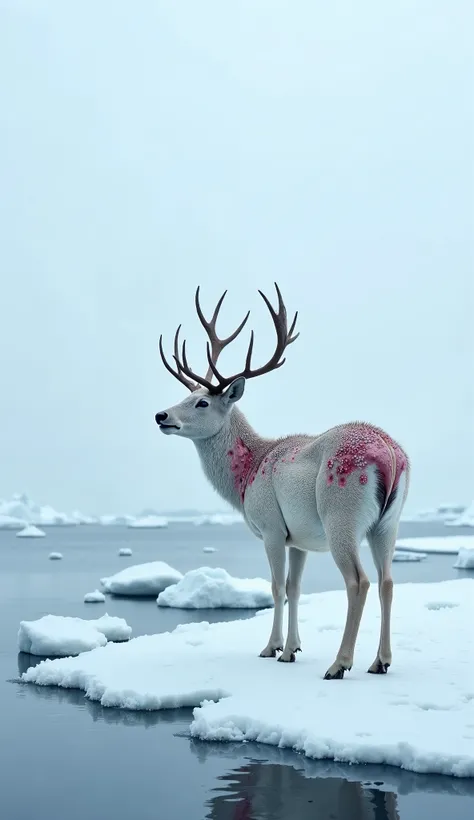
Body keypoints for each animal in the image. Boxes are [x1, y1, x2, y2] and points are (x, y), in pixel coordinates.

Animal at [155, 286, 408, 676]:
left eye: (201, 403)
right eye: (186, 395)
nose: (161, 415)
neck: (247, 474)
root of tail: (390, 456)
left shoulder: (271, 527)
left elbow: (276, 586)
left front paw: (272, 648)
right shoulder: (298, 539)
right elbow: (295, 587)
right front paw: (293, 648)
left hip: (341, 515)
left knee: (358, 580)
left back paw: (340, 663)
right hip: (388, 523)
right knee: (388, 581)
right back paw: (380, 661)